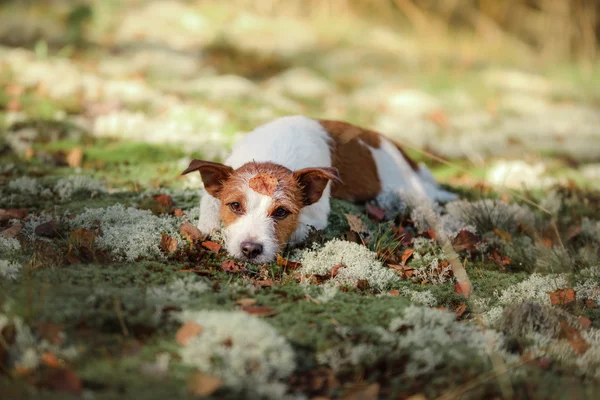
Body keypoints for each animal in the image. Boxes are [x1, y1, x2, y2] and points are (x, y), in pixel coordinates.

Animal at [183, 115, 454, 264]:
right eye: (235, 205)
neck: (273, 154)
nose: (250, 249)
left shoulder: (314, 218)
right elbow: (209, 211)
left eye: (281, 212)